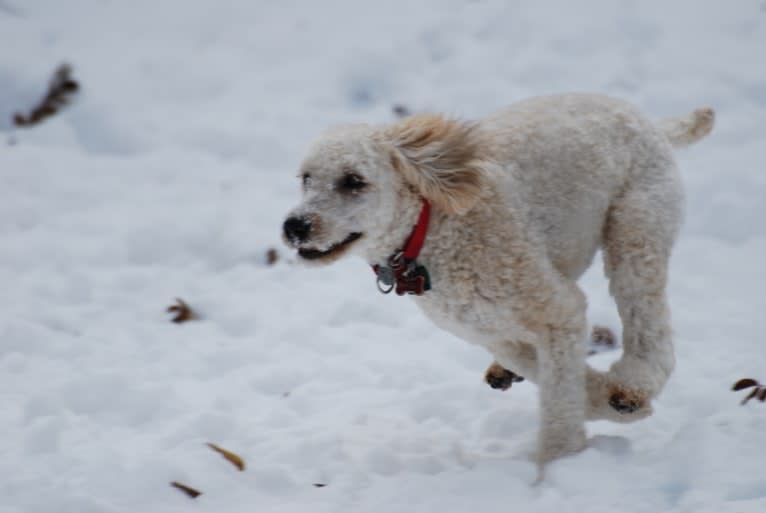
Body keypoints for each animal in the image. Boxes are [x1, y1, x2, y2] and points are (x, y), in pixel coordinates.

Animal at [284, 94, 716, 470]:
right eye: (305, 178)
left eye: (353, 180)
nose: (294, 226)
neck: (431, 227)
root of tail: (651, 123)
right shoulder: (483, 325)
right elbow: (545, 369)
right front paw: (598, 403)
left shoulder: (558, 310)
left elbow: (560, 394)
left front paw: (558, 464)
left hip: (636, 229)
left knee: (647, 318)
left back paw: (633, 385)